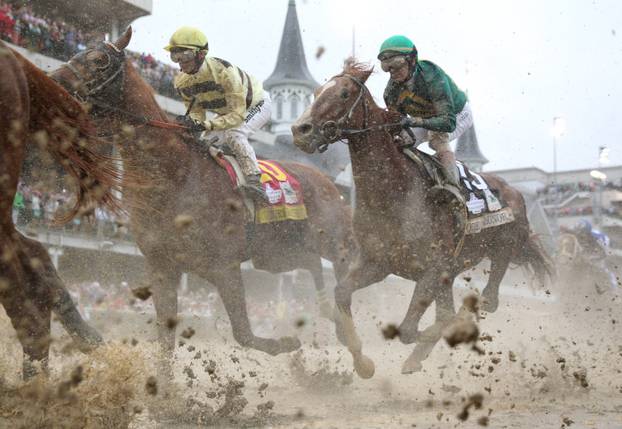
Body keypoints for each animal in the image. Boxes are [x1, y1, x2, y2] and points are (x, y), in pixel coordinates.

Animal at [51, 28, 358, 378]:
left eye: (99, 59)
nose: (53, 81)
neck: (174, 174)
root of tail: (326, 181)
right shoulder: (162, 266)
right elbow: (165, 339)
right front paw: (165, 388)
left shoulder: (224, 266)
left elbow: (243, 332)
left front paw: (287, 342)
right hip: (278, 253)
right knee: (313, 269)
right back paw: (330, 314)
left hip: (333, 242)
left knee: (346, 269)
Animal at [292, 61, 556, 378]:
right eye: (317, 91)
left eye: (344, 93)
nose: (300, 130)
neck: (396, 193)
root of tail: (515, 192)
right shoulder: (378, 263)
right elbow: (342, 293)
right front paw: (362, 361)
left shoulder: (434, 268)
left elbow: (410, 329)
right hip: (452, 272)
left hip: (501, 251)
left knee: (488, 300)